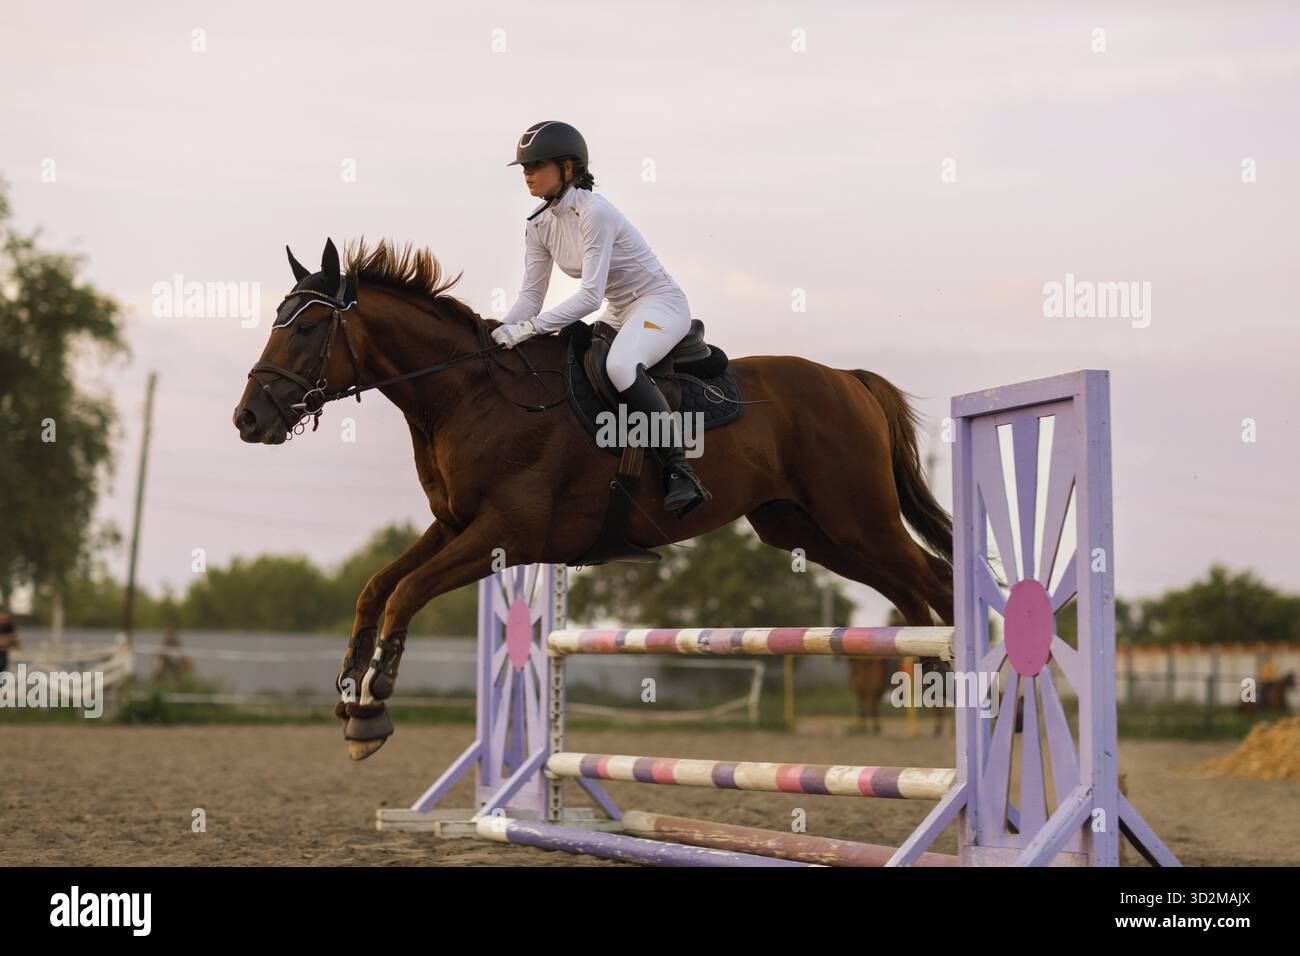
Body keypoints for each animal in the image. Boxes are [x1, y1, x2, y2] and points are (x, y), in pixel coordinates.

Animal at [232, 238, 955, 760]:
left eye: (305, 331)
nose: (248, 418)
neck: (468, 395)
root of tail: (849, 380)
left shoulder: (505, 534)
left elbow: (405, 593)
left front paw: (374, 703)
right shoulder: (455, 526)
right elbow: (375, 588)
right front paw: (351, 694)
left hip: (855, 518)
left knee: (935, 578)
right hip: (805, 529)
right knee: (911, 588)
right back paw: (937, 676)